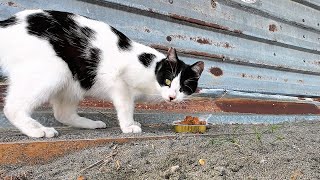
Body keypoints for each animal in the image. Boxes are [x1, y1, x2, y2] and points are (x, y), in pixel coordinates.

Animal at [0, 9, 204, 138]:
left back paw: (91, 124)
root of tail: (7, 24)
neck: (152, 73)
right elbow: (126, 106)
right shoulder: (120, 82)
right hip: (55, 71)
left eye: (183, 87)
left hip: (73, 82)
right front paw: (128, 125)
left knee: (62, 113)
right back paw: (38, 131)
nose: (172, 97)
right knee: (12, 108)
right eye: (168, 81)